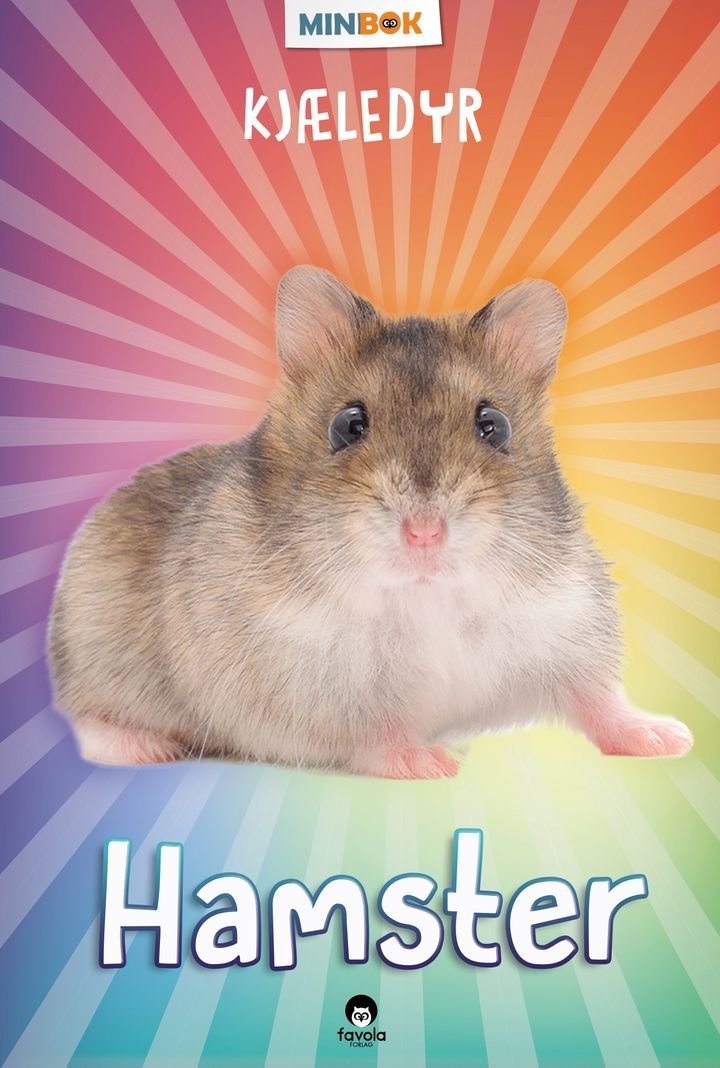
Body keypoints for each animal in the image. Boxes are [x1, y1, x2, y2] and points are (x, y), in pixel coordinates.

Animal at [48, 267, 693, 776]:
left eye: (495, 425)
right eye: (347, 425)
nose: (425, 533)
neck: (428, 598)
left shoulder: (563, 626)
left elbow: (598, 697)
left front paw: (668, 738)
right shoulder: (307, 686)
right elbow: (374, 729)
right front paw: (433, 764)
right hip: (92, 651)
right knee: (87, 717)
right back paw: (144, 748)